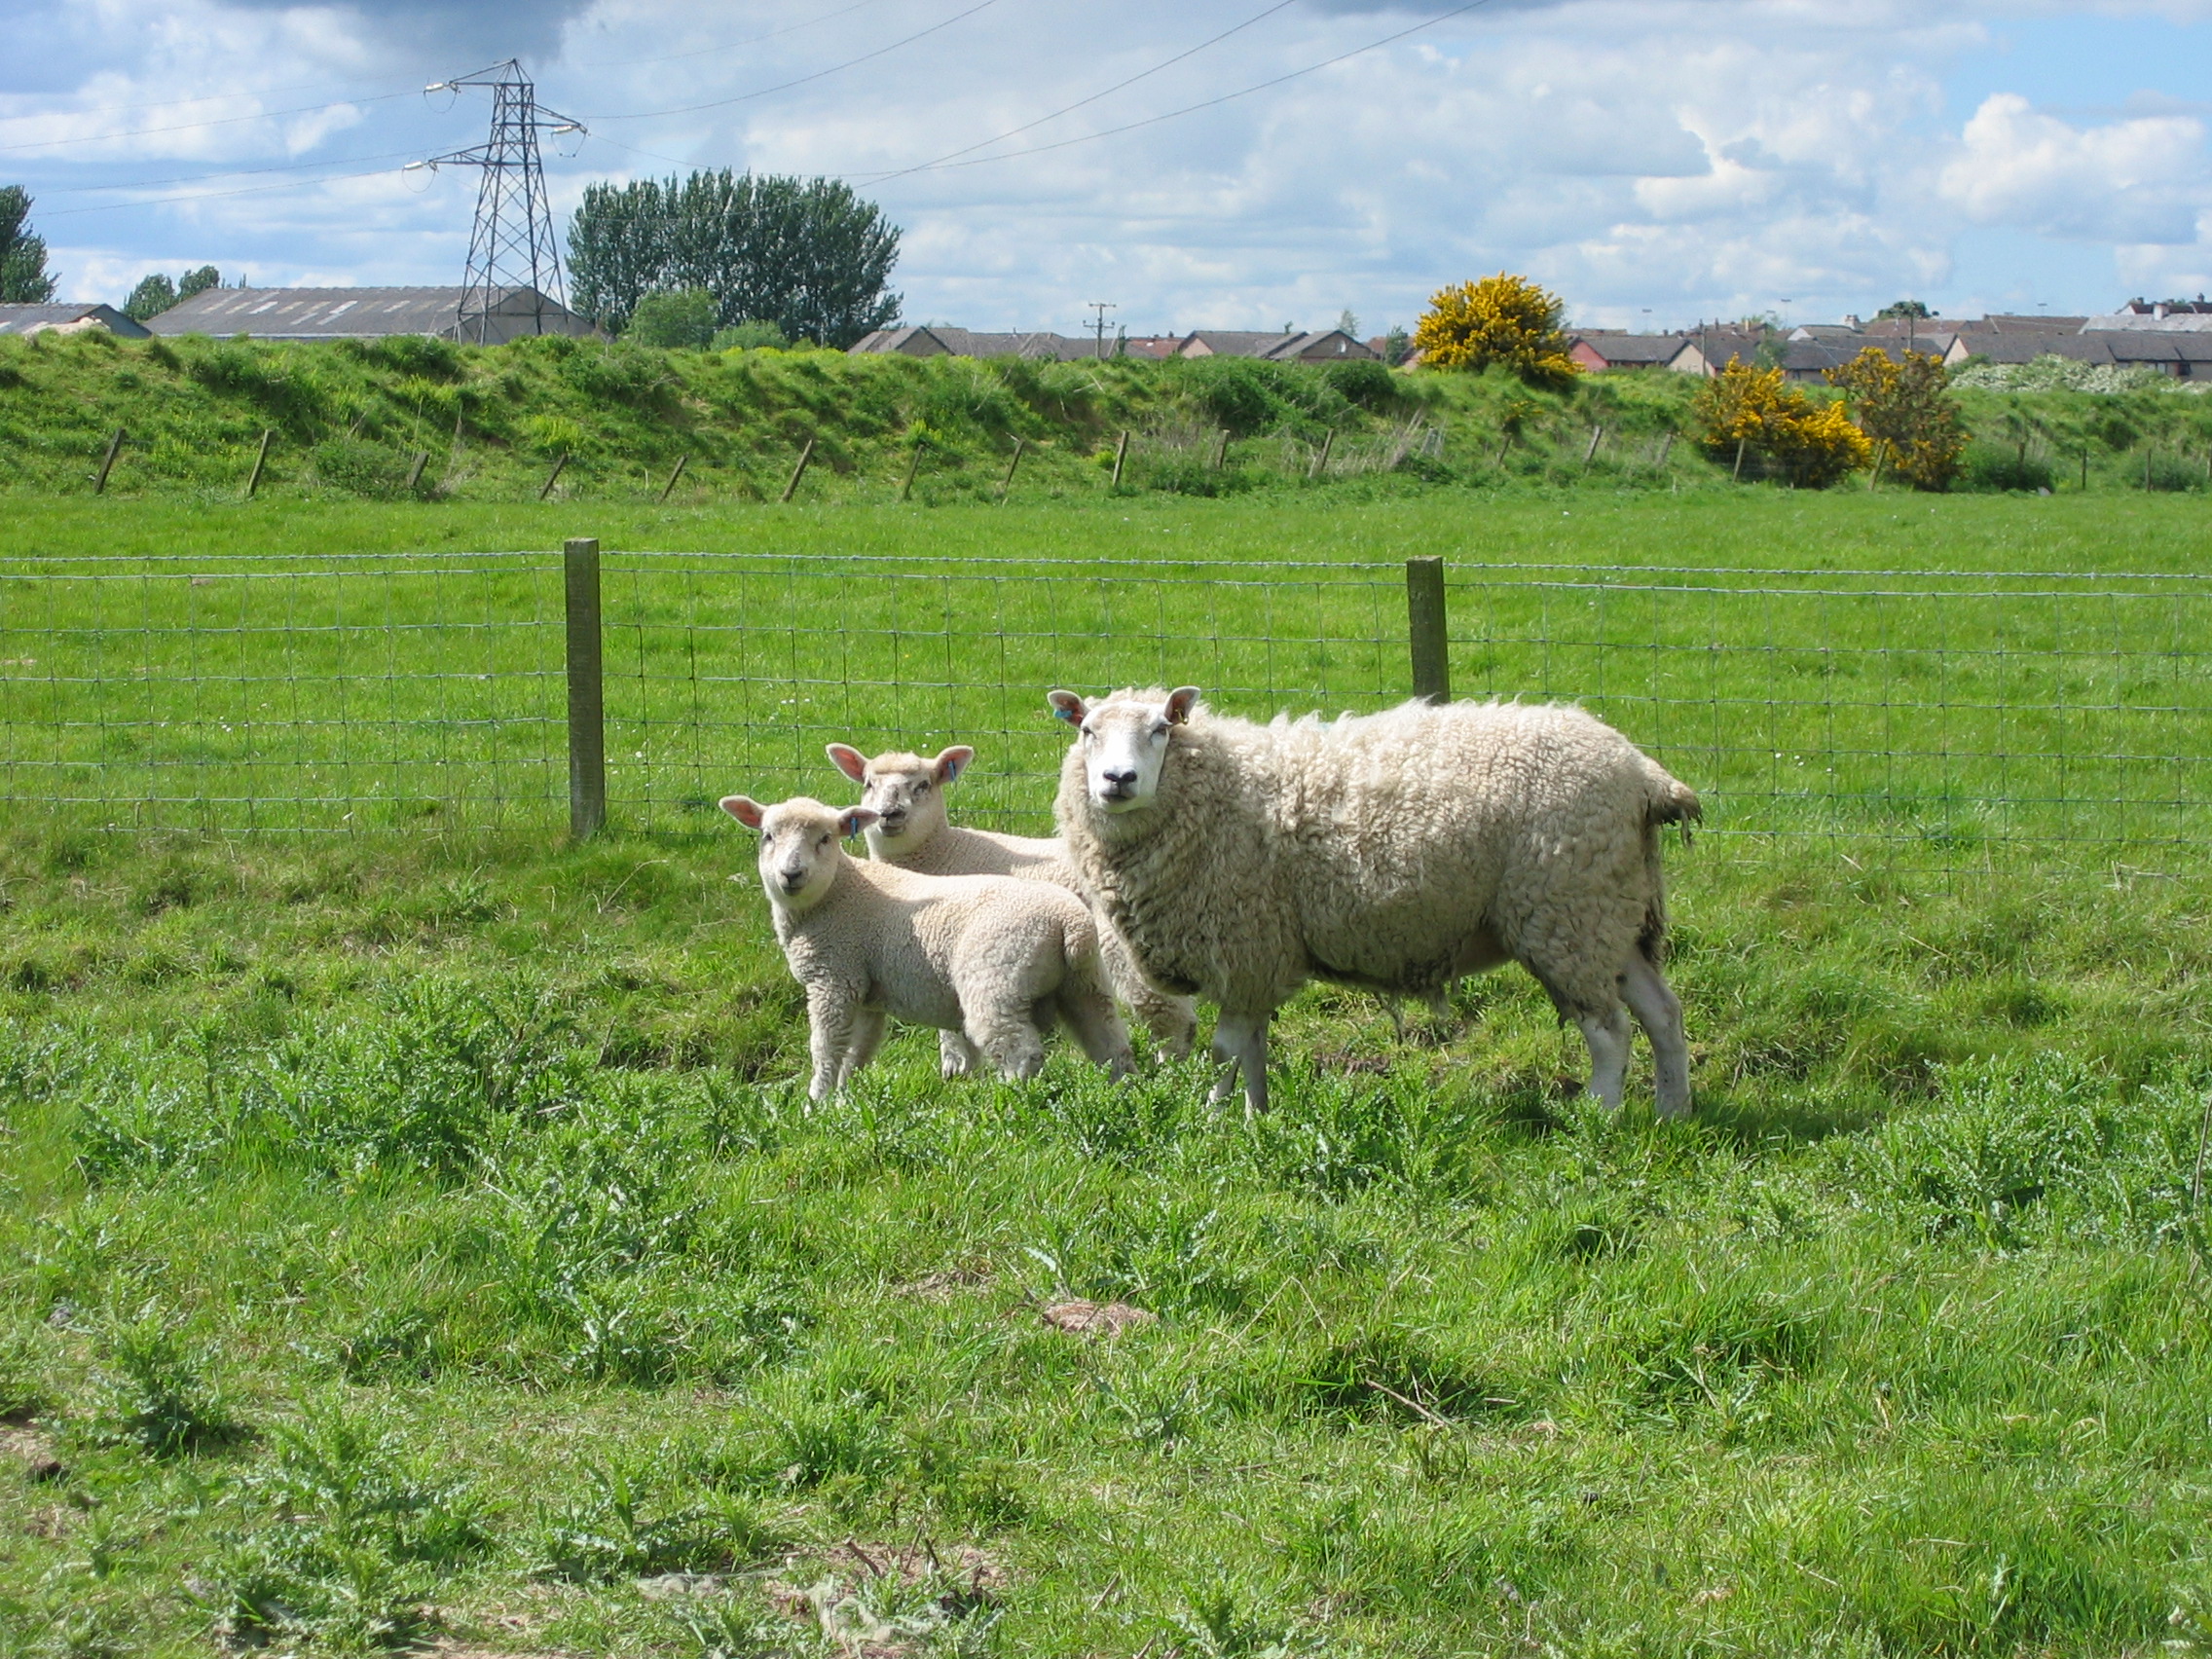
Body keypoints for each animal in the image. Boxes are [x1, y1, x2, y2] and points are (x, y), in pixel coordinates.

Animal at [722, 793, 1134, 1098]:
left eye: (825, 839)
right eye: (768, 836)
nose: (791, 874)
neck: (838, 892)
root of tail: (1070, 923)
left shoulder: (832, 979)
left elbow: (825, 1048)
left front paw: (816, 1104)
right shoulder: (863, 989)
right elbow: (857, 1051)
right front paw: (843, 1100)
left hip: (996, 981)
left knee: (1020, 1053)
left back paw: (1009, 1102)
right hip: (1085, 982)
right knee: (1110, 1042)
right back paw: (1122, 1093)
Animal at [825, 741, 1198, 1075]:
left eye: (923, 785)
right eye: (868, 784)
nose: (890, 815)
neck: (941, 852)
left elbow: (950, 1029)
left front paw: (956, 1070)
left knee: (1168, 1012)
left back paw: (1172, 1071)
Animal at [1047, 686, 1701, 1118]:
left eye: (1161, 728)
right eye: (1086, 731)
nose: (1118, 780)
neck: (1214, 789)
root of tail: (1643, 773)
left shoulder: (1242, 942)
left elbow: (1225, 1050)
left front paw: (1212, 1121)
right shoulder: (1260, 953)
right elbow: (1252, 1048)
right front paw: (1256, 1117)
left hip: (1566, 911)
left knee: (1609, 1028)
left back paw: (1599, 1115)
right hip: (1612, 910)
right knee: (1662, 1014)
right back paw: (1673, 1110)